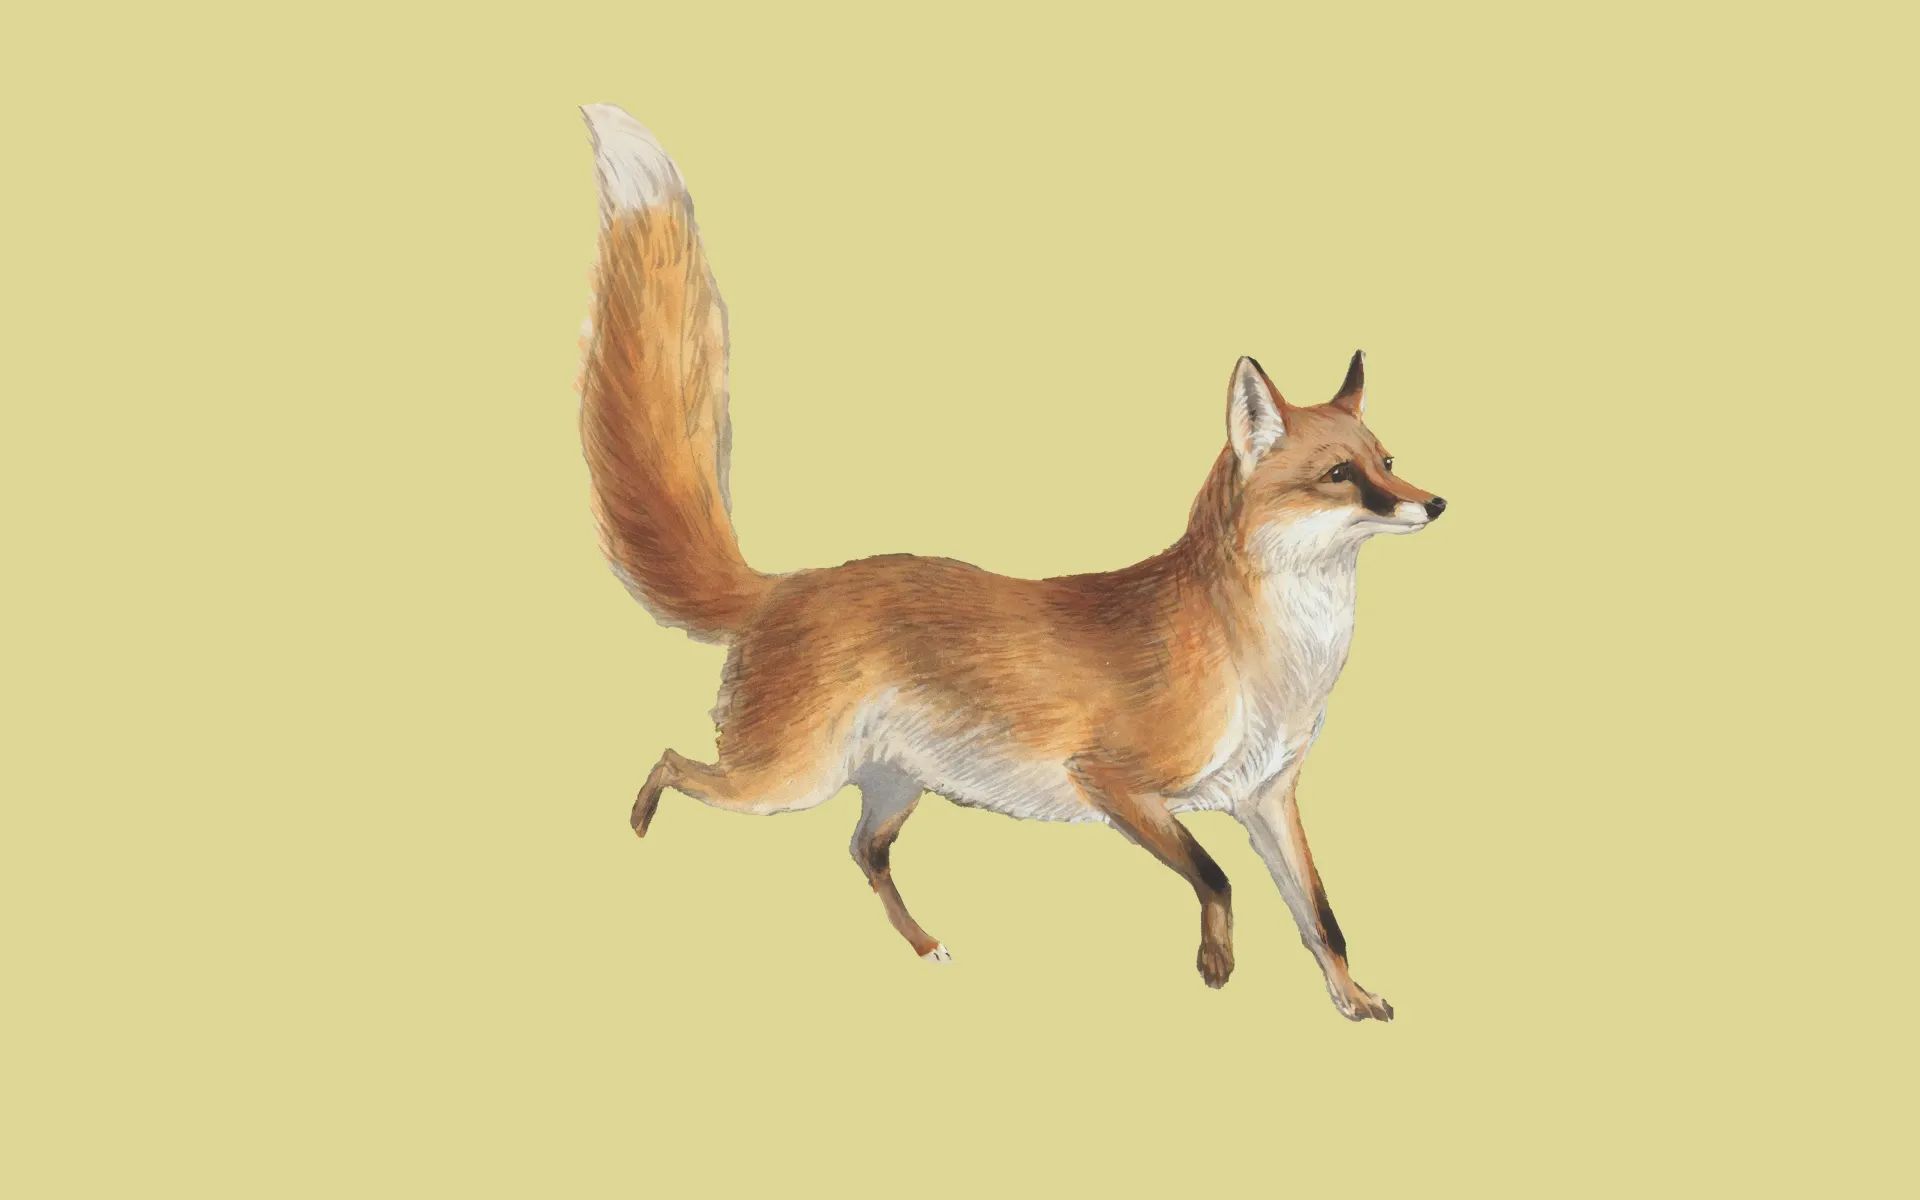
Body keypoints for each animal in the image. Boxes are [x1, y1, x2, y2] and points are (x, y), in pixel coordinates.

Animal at [578, 103, 1447, 1021]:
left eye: (1388, 461)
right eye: (1340, 475)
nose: (1436, 504)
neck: (1273, 664)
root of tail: (785, 586)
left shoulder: (1267, 798)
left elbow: (1322, 918)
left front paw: (1354, 1000)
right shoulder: (1110, 779)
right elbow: (1215, 877)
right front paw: (1217, 961)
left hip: (889, 786)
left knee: (862, 851)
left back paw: (925, 946)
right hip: (784, 779)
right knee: (672, 763)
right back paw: (637, 829)